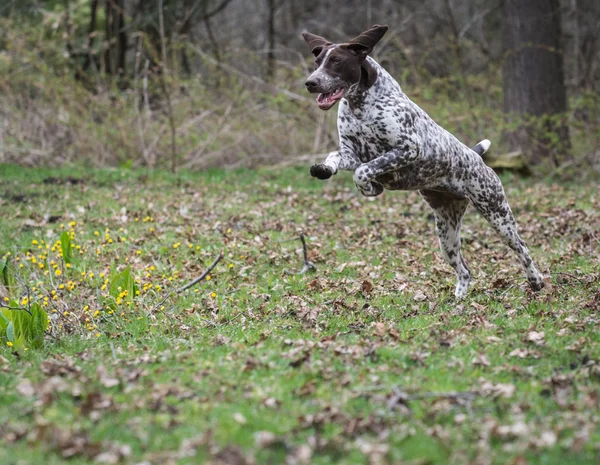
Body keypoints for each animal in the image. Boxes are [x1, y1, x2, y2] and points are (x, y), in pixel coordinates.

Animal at [300, 24, 544, 298]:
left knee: (522, 249)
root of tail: (475, 156)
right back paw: (459, 300)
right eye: (317, 61)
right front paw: (324, 169)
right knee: (465, 271)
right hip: (446, 234)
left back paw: (535, 280)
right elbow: (336, 157)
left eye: (337, 61)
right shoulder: (351, 152)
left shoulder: (407, 149)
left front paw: (371, 187)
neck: (360, 105)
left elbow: (363, 171)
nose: (310, 83)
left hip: (497, 214)